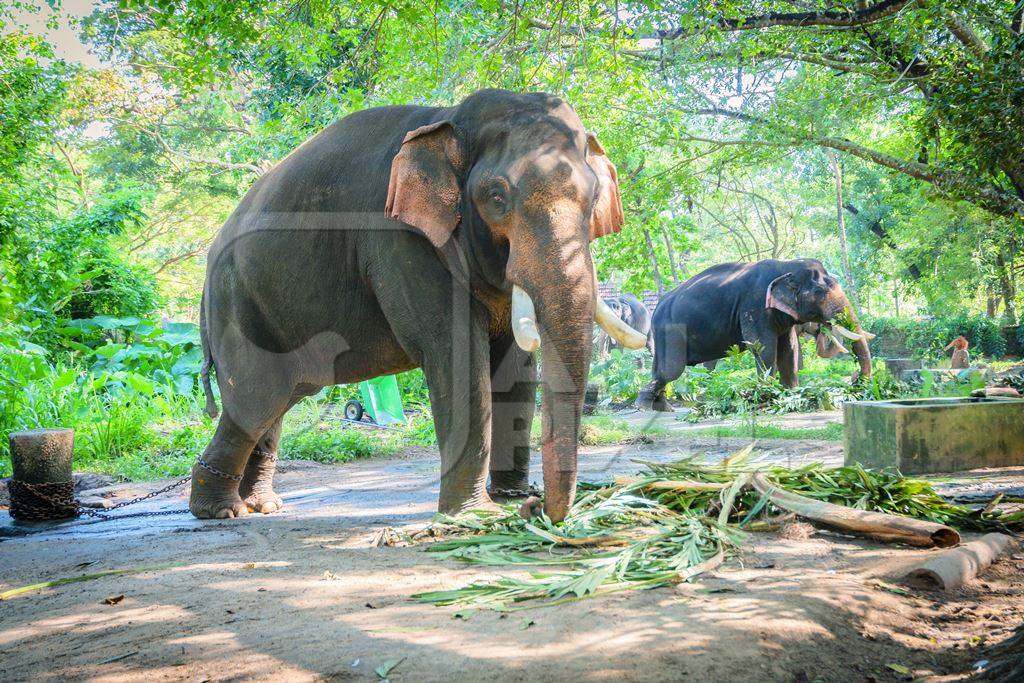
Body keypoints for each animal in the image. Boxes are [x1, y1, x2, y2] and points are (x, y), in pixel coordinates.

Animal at [192, 89, 647, 524]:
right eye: (496, 197)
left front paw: (510, 497)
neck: (450, 117)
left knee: (281, 400)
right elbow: (458, 359)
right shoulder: (402, 241)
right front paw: (476, 514)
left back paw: (263, 505)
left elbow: (514, 371)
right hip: (236, 306)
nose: (536, 508)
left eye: (594, 197)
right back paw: (221, 510)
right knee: (255, 401)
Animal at [638, 259, 872, 411]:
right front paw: (766, 397)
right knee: (671, 369)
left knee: (660, 368)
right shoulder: (755, 305)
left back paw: (662, 408)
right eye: (819, 293)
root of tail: (658, 306)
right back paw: (644, 407)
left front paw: (790, 395)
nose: (855, 379)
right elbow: (764, 346)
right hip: (670, 328)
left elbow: (788, 350)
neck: (786, 265)